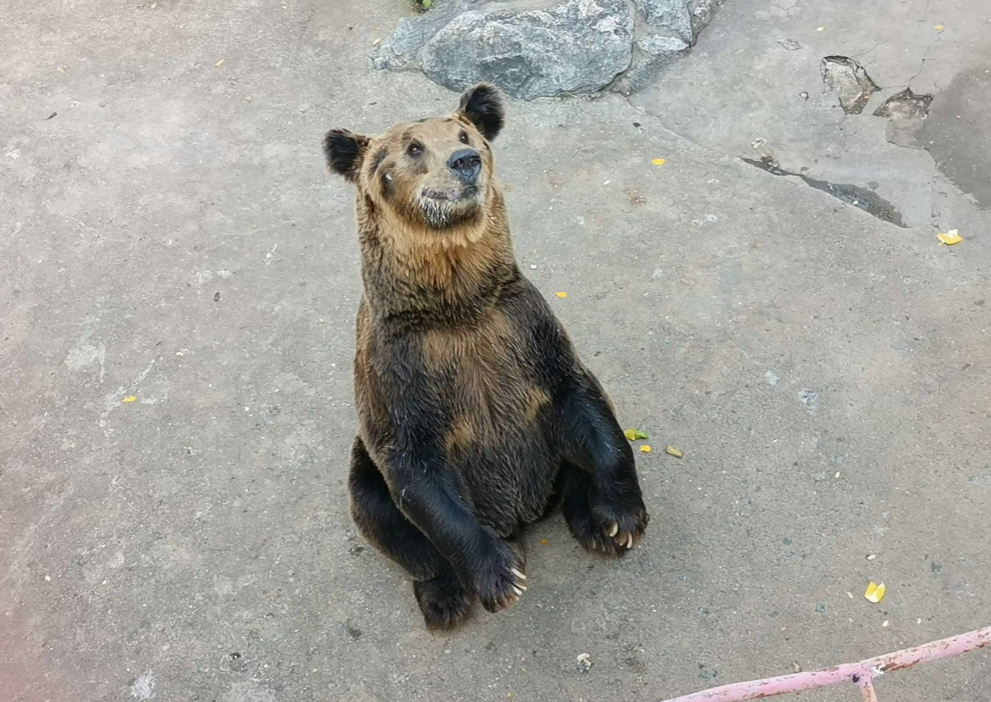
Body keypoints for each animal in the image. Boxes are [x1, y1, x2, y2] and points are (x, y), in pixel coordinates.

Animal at [326, 84, 652, 632]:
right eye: (412, 147)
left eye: (464, 134)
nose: (465, 162)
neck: (458, 306)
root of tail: (522, 516)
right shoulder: (400, 370)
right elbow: (417, 473)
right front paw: (500, 576)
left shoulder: (525, 332)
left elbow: (584, 402)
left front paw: (623, 517)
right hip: (366, 462)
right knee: (379, 510)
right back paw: (445, 598)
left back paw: (592, 523)